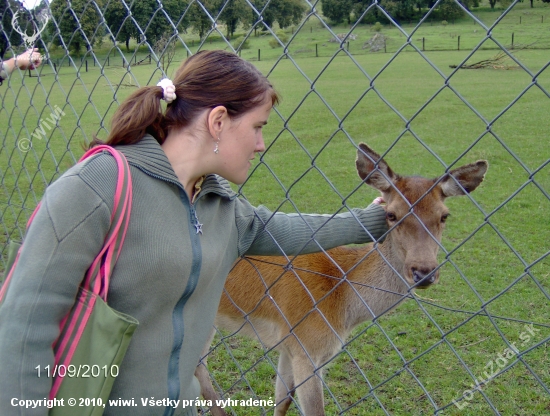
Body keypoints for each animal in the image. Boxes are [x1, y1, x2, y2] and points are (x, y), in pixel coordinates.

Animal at [196, 141, 490, 414]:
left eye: (444, 215)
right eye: (391, 214)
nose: (424, 271)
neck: (342, 308)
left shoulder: (290, 347)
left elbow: (282, 402)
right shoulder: (307, 347)